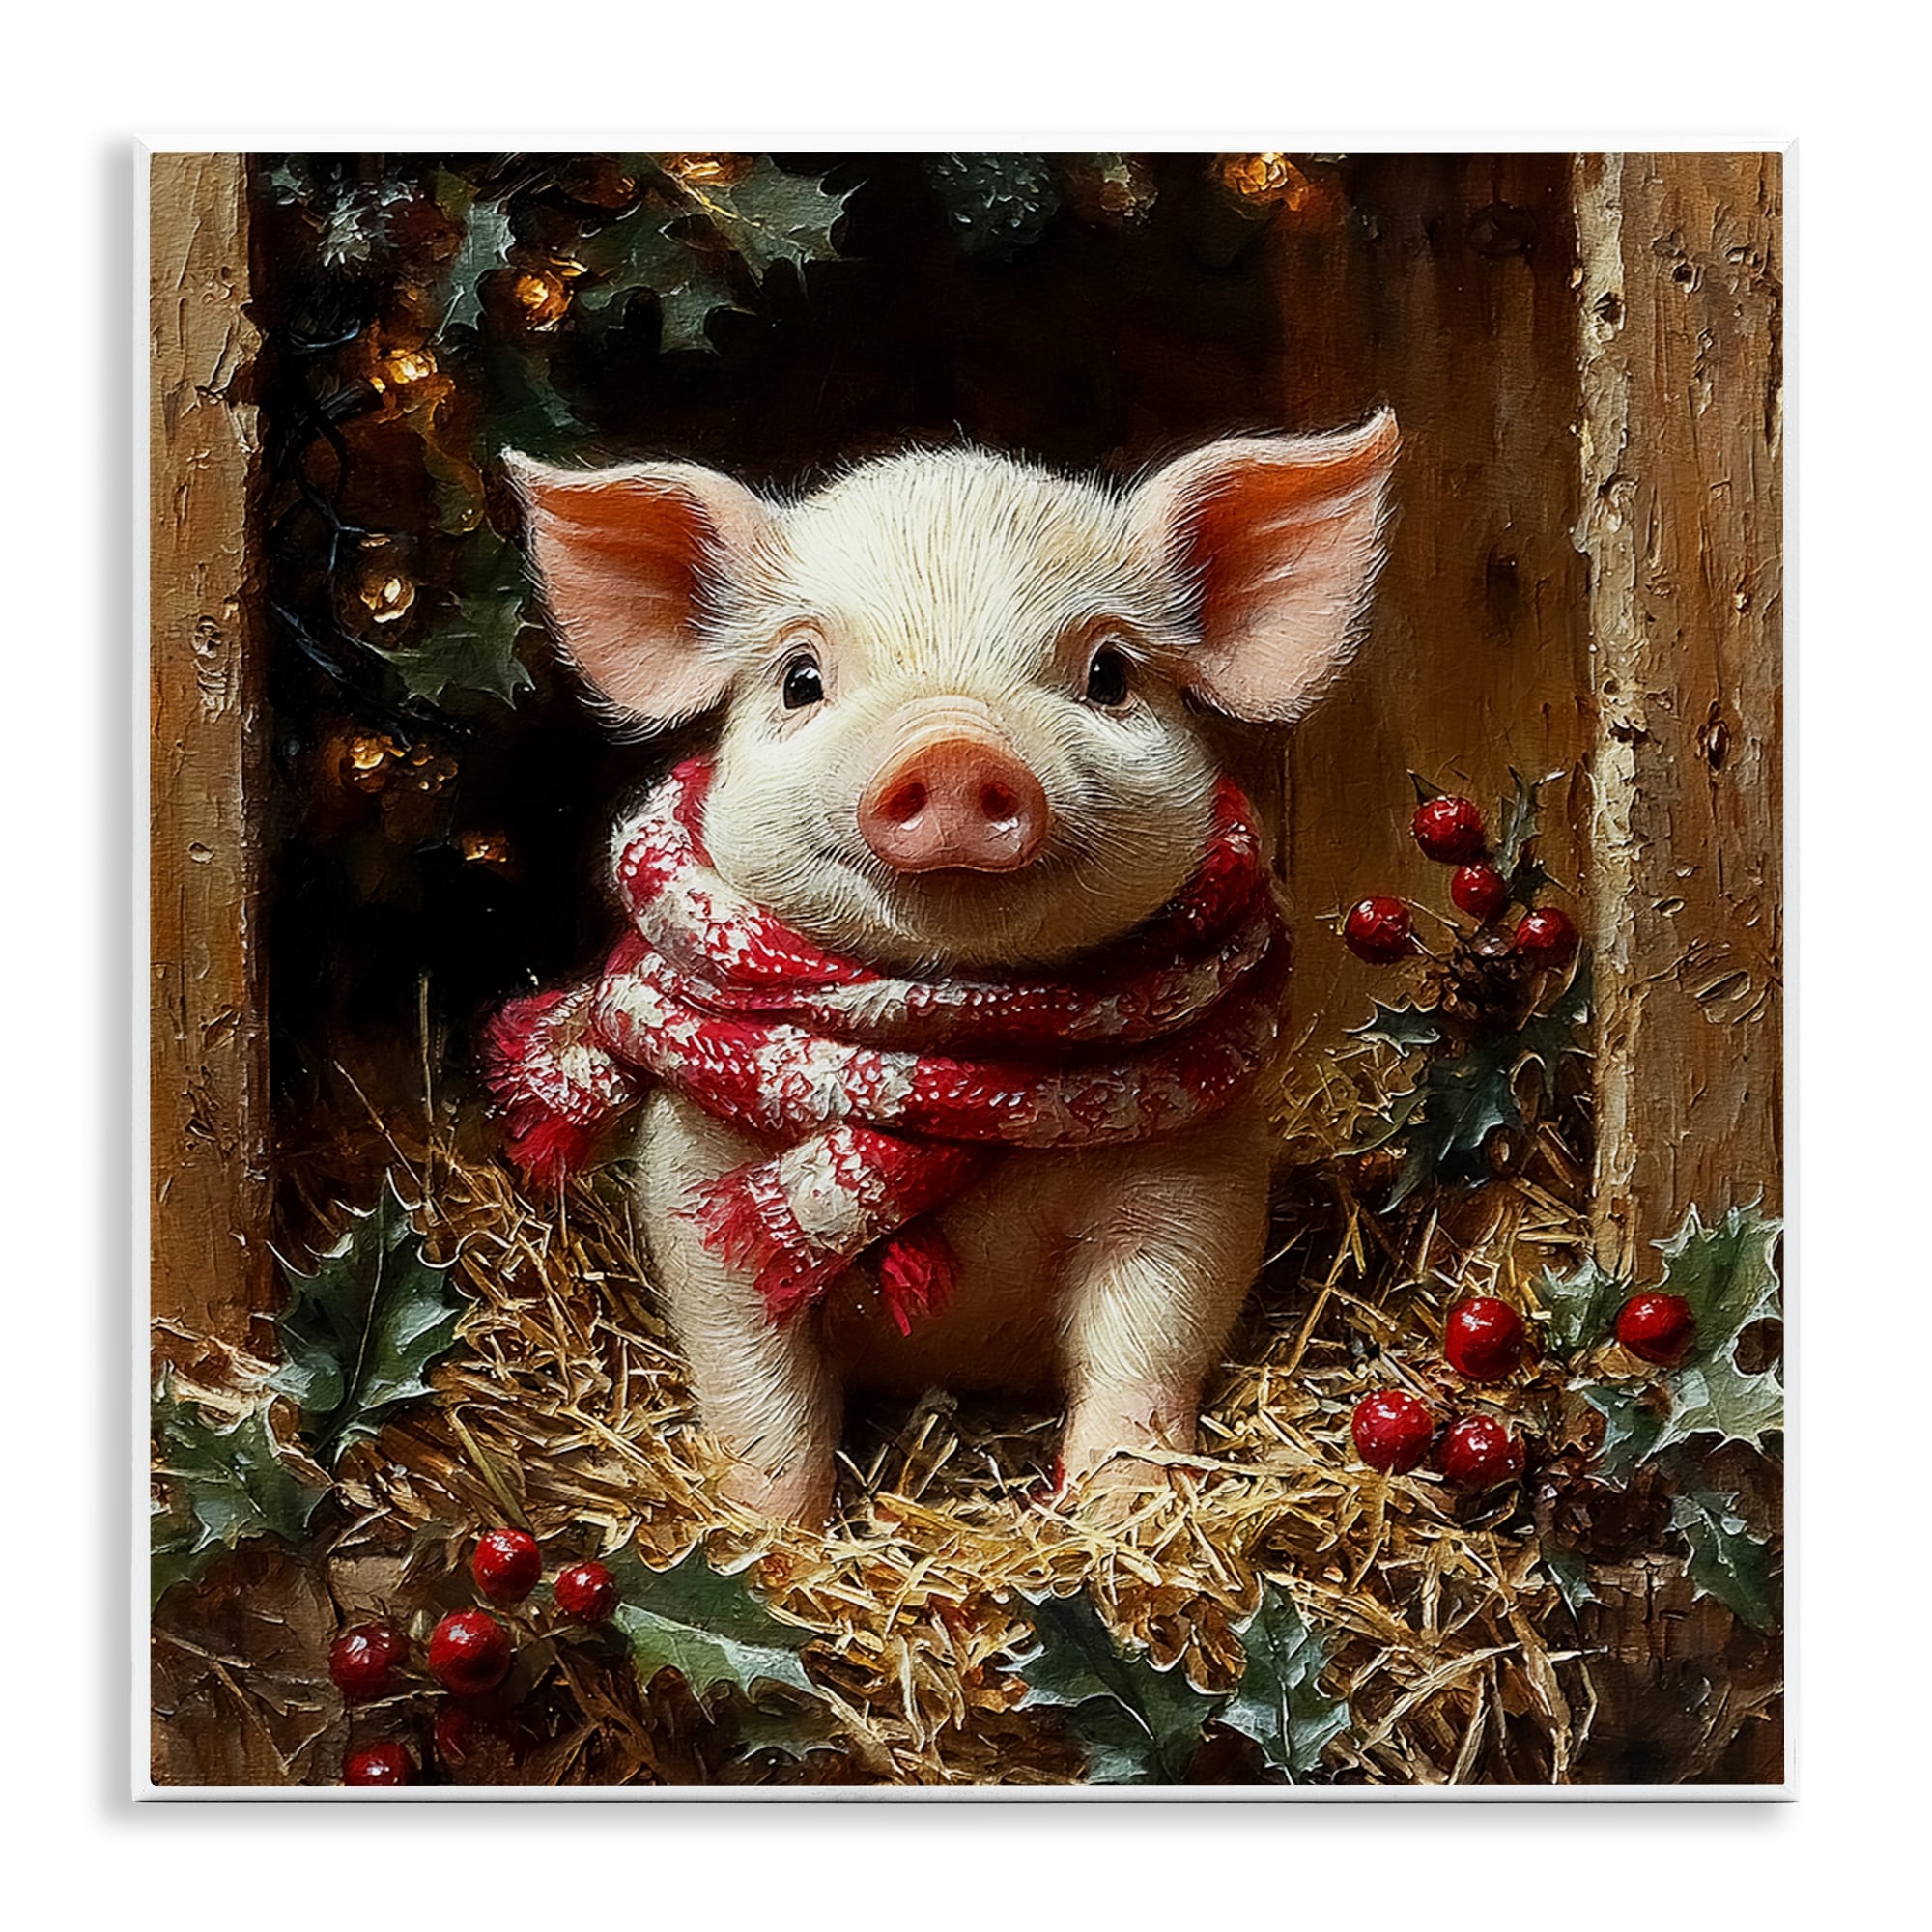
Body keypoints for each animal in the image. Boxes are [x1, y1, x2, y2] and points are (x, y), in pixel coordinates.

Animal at [505, 413, 1398, 1525]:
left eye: (1109, 673)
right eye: (800, 678)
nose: (956, 748)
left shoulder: (1197, 1180)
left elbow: (1147, 1349)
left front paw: (1118, 1518)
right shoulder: (696, 1184)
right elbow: (754, 1388)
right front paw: (771, 1534)